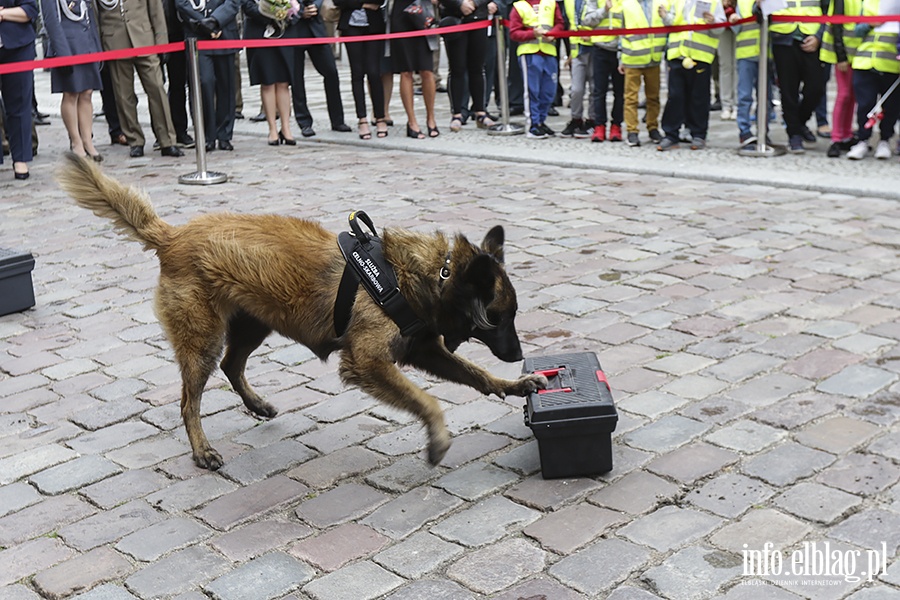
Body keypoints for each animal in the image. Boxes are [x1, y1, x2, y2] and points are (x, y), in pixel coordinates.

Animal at [59, 154, 548, 468]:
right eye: (501, 318)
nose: (518, 353)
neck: (425, 276)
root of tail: (171, 235)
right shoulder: (368, 362)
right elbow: (427, 400)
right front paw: (439, 437)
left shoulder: (423, 350)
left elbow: (476, 374)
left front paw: (513, 384)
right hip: (203, 341)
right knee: (188, 400)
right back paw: (201, 451)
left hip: (252, 325)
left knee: (233, 366)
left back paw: (256, 404)